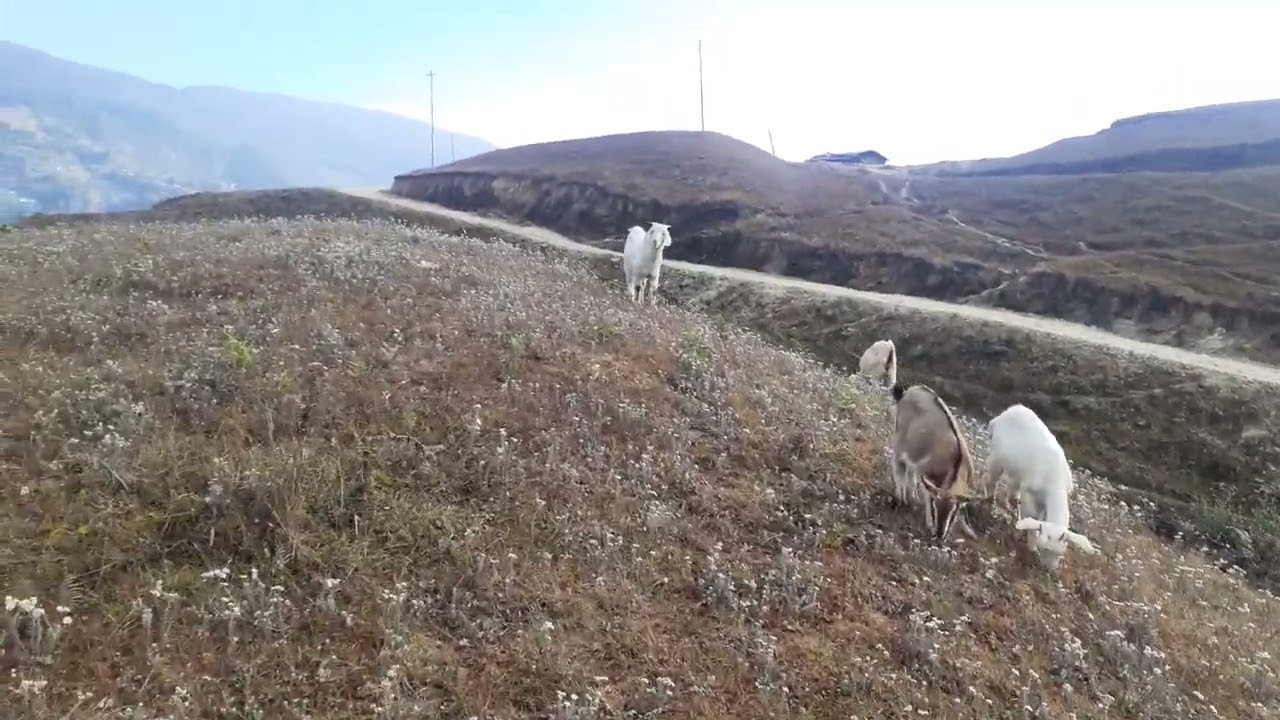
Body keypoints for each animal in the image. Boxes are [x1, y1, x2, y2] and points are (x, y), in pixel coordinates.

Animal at [889, 382, 983, 542]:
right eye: (935, 507)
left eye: (952, 512)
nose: (940, 535)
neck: (956, 462)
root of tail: (909, 391)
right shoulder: (927, 472)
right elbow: (927, 493)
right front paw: (928, 524)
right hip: (899, 439)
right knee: (899, 466)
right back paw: (900, 497)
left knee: (909, 470)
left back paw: (911, 496)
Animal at [983, 403, 1099, 570]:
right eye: (1043, 547)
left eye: (1060, 552)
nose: (1047, 568)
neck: (1055, 482)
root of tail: (1001, 416)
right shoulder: (1029, 493)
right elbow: (1032, 517)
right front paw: (1030, 544)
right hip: (996, 456)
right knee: (991, 478)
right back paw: (989, 500)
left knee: (1011, 486)